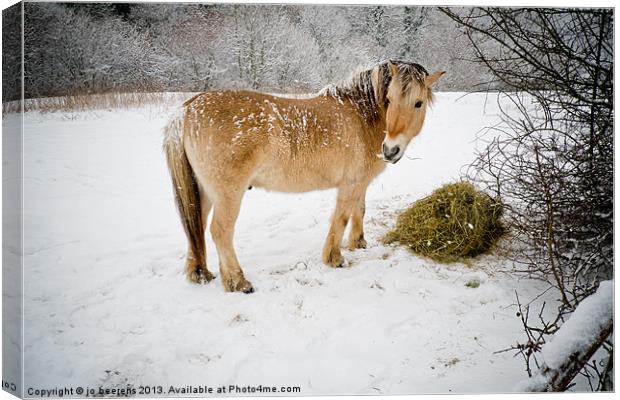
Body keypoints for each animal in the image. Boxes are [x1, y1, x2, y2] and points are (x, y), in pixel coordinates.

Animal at [163, 59, 446, 292]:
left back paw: (200, 273)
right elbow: (342, 217)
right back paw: (238, 282)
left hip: (203, 191)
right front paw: (334, 258)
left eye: (418, 103)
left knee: (196, 226)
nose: (390, 150)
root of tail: (187, 110)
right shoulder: (350, 184)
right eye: (389, 99)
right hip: (228, 194)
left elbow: (359, 210)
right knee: (220, 231)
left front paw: (358, 243)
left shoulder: (360, 183)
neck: (360, 116)